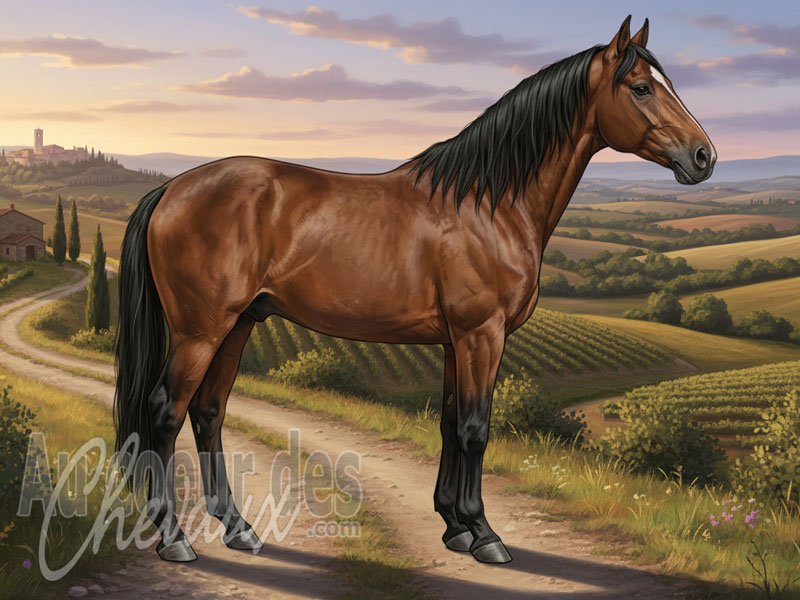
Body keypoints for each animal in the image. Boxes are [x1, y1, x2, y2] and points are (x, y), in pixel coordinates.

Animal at [114, 15, 715, 565]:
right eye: (640, 87)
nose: (704, 156)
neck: (489, 203)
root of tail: (171, 189)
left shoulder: (455, 341)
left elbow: (449, 423)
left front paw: (455, 528)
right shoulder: (481, 335)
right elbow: (475, 428)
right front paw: (485, 535)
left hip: (238, 324)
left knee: (208, 411)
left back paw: (239, 529)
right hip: (200, 331)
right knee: (166, 411)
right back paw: (174, 538)